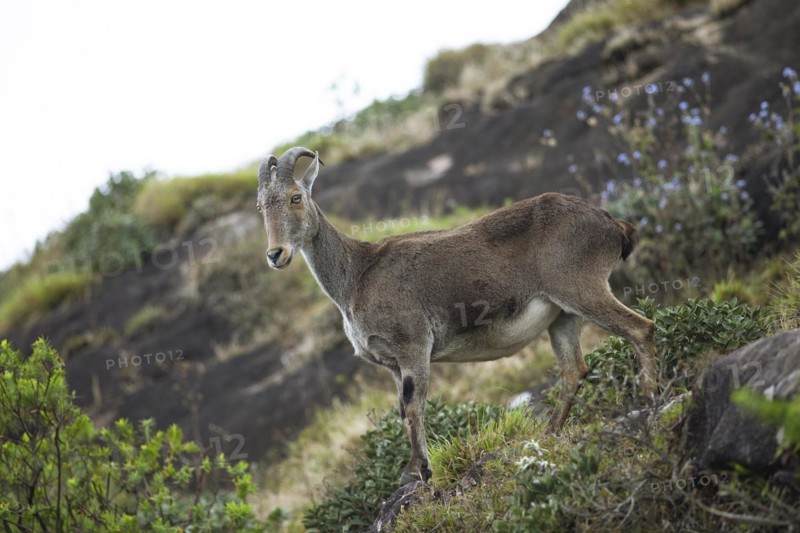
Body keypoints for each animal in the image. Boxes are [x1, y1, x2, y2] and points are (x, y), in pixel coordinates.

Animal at [257, 147, 656, 485]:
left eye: (295, 197)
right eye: (261, 207)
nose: (276, 254)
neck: (357, 274)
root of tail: (611, 224)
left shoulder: (413, 346)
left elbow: (413, 407)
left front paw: (417, 471)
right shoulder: (391, 364)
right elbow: (403, 411)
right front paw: (418, 469)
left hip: (583, 289)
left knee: (641, 329)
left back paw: (652, 397)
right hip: (562, 316)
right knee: (574, 370)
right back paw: (549, 433)